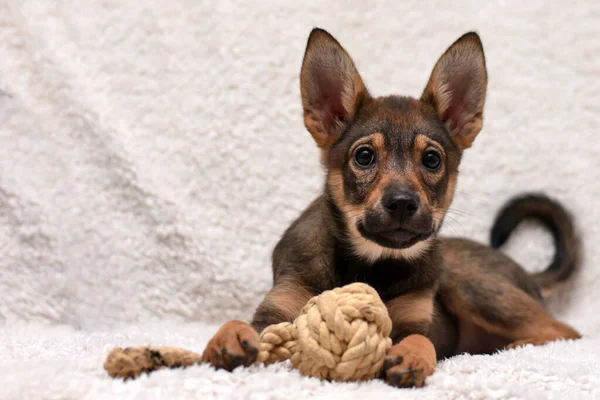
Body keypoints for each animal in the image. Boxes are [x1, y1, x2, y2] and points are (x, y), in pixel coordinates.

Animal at [203, 28, 580, 388]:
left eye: (432, 160)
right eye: (364, 156)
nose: (401, 203)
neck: (371, 265)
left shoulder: (417, 321)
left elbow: (421, 341)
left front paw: (411, 358)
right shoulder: (278, 307)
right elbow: (241, 321)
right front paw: (227, 338)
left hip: (467, 283)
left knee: (565, 331)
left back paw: (511, 348)